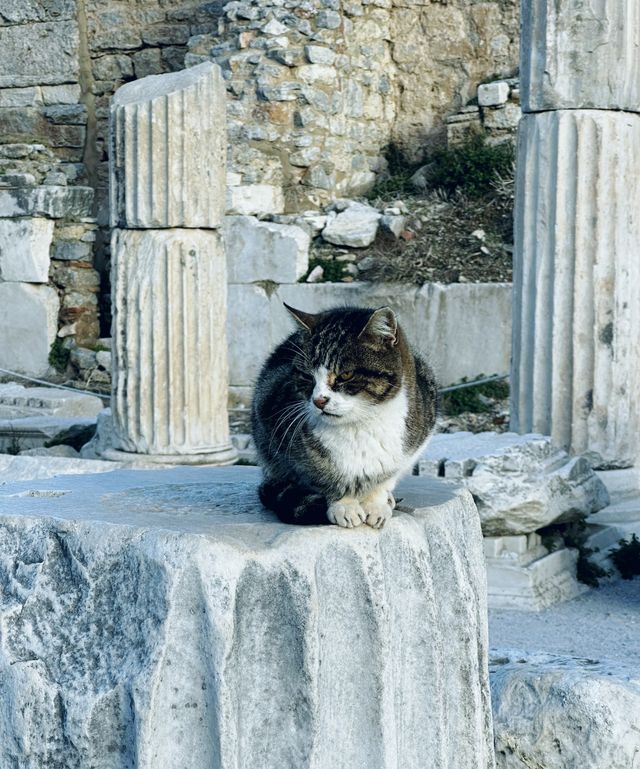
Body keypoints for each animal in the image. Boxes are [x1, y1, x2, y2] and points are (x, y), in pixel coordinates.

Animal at [252, 306, 438, 528]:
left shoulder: (414, 443)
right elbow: (325, 476)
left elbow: (386, 478)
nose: (318, 400)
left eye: (346, 375)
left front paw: (377, 504)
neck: (361, 425)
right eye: (307, 376)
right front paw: (344, 506)